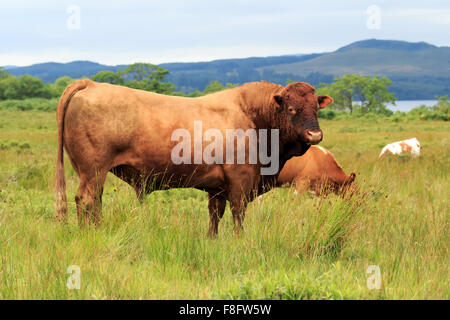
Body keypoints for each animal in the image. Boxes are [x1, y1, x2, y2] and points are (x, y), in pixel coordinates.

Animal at [54, 79, 332, 236]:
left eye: (316, 108)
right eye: (291, 108)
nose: (315, 134)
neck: (255, 117)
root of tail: (91, 83)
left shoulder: (217, 188)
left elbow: (215, 216)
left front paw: (212, 240)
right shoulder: (240, 181)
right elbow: (238, 214)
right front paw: (239, 240)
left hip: (90, 173)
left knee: (94, 202)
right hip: (93, 170)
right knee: (86, 201)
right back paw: (92, 233)